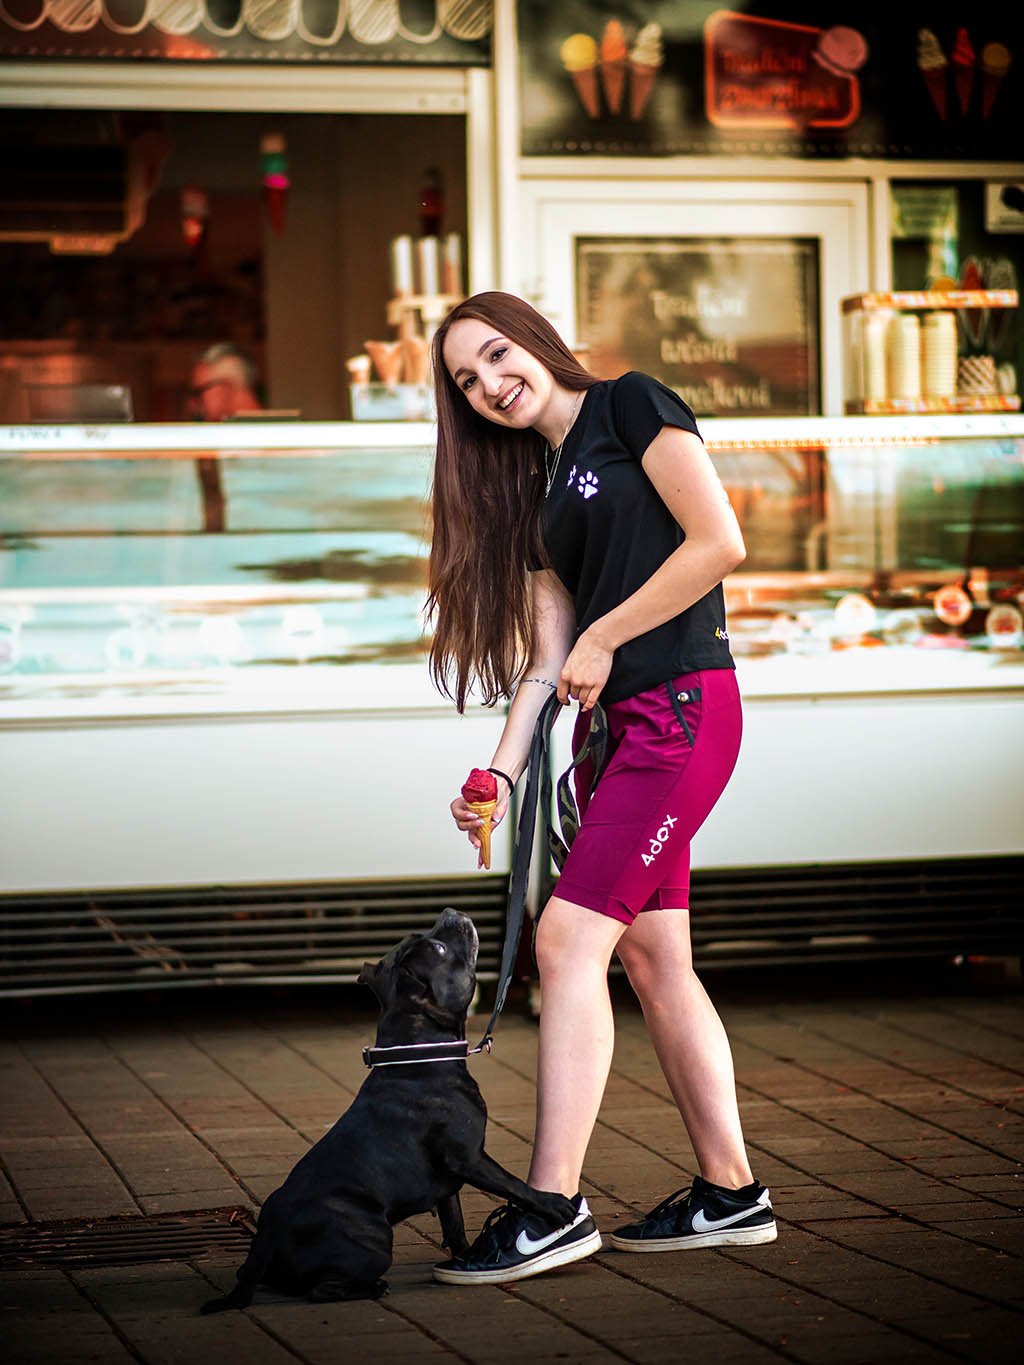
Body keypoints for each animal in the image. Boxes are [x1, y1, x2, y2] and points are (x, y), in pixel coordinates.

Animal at [202, 911, 578, 1304]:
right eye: (439, 948)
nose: (449, 913)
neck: (418, 1055)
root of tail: (269, 1231)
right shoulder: (470, 1158)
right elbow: (513, 1184)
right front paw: (552, 1203)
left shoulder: (449, 1183)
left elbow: (454, 1224)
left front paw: (466, 1259)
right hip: (376, 1238)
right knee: (321, 1289)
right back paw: (372, 1287)